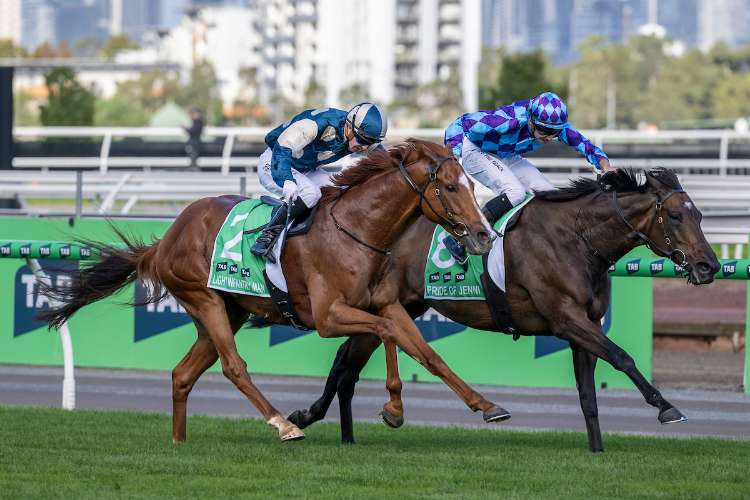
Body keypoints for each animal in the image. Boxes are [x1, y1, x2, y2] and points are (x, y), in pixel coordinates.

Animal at [39, 139, 515, 443]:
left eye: (470, 184)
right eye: (450, 187)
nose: (482, 235)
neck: (358, 230)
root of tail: (166, 239)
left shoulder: (385, 303)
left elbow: (425, 352)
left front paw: (486, 404)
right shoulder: (327, 317)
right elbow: (386, 334)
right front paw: (394, 408)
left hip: (226, 309)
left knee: (183, 374)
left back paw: (179, 442)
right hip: (205, 300)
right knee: (234, 367)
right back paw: (284, 425)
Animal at [286, 168, 721, 451]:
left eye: (700, 215)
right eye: (676, 215)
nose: (709, 266)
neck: (577, 239)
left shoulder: (585, 324)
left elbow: (587, 394)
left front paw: (597, 450)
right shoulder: (567, 319)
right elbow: (623, 357)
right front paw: (667, 408)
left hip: (398, 306)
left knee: (347, 364)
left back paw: (336, 429)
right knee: (346, 364)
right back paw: (315, 420)